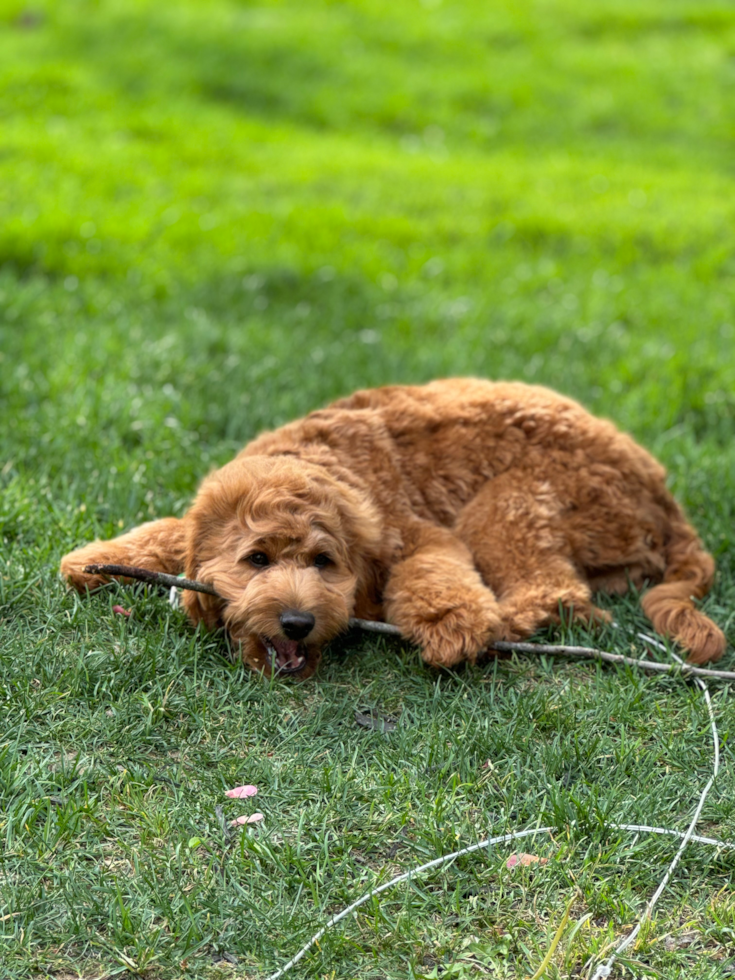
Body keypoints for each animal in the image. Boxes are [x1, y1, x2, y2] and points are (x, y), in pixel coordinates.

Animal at [60, 378, 728, 676]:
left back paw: (508, 624)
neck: (316, 459)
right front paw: (93, 560)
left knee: (556, 592)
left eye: (324, 563)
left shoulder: (421, 532)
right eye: (257, 560)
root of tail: (663, 493)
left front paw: (453, 625)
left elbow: (433, 573)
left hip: (508, 502)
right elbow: (172, 529)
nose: (297, 623)